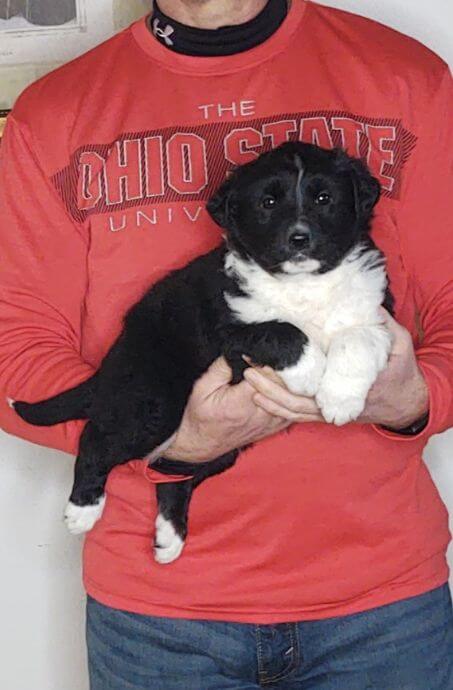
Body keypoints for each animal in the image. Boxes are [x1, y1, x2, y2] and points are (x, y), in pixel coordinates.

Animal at [11, 142, 392, 560]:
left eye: (324, 199)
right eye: (268, 202)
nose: (299, 238)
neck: (304, 284)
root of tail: (113, 359)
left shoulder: (379, 315)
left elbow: (356, 339)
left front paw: (340, 399)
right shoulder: (228, 331)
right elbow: (282, 330)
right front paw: (310, 374)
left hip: (217, 445)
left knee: (173, 471)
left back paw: (169, 536)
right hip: (152, 403)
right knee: (97, 437)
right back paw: (82, 511)